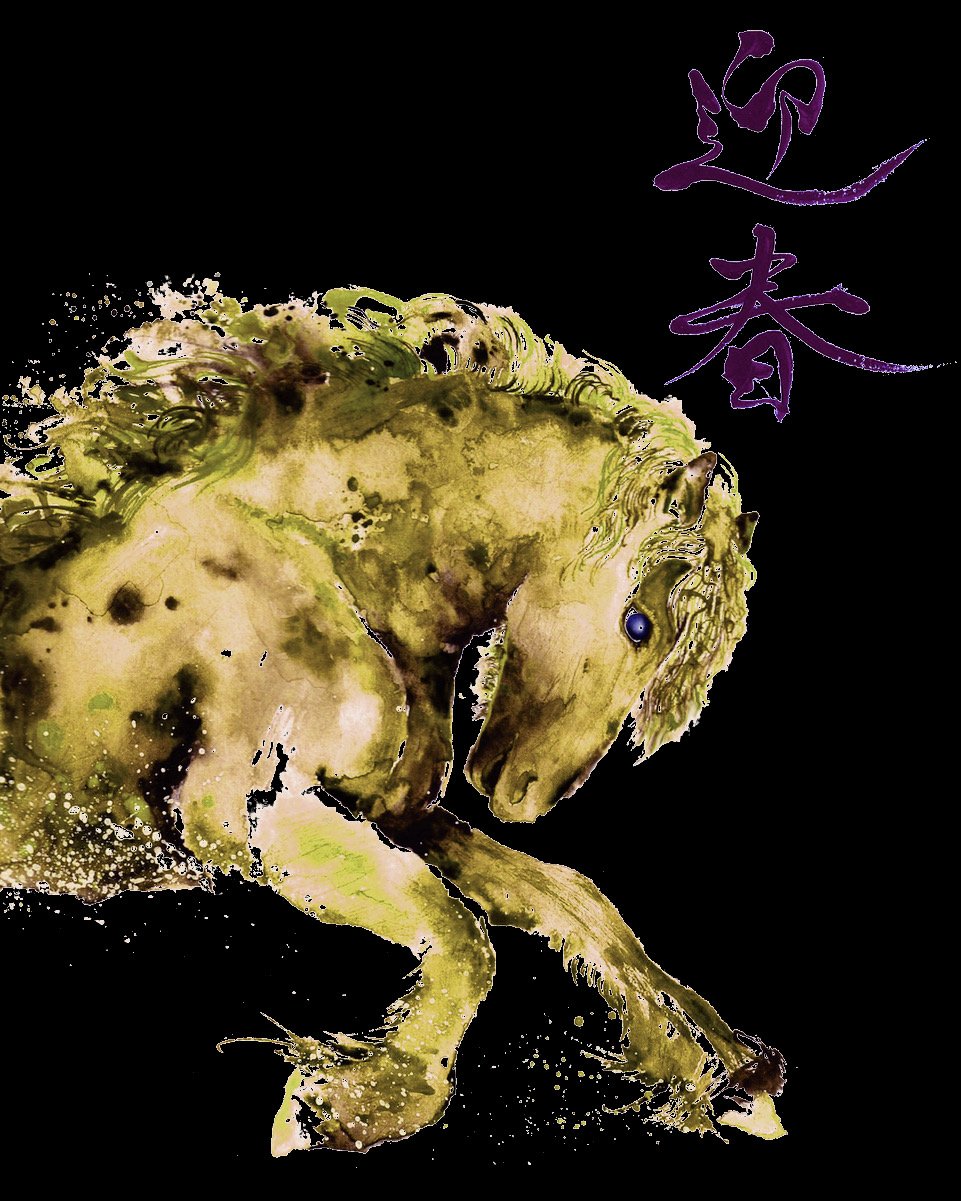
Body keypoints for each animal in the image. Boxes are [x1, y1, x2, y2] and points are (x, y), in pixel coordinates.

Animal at [0, 286, 785, 1153]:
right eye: (638, 623)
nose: (525, 793)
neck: (318, 555)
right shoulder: (248, 815)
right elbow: (462, 936)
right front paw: (352, 1100)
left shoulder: (401, 812)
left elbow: (576, 901)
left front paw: (718, 1064)